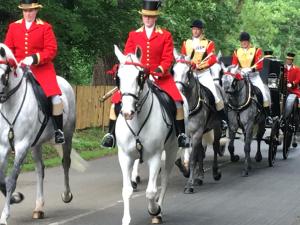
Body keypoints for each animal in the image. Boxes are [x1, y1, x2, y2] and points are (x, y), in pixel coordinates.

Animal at [0, 43, 78, 224]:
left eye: (2, 75)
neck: (11, 104)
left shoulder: (22, 146)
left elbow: (11, 180)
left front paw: (4, 215)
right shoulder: (3, 147)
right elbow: (1, 179)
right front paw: (15, 198)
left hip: (68, 134)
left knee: (66, 162)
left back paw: (66, 194)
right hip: (36, 143)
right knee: (40, 170)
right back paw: (38, 207)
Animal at [113, 44, 177, 224]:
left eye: (139, 77)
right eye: (118, 77)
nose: (127, 112)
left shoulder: (155, 156)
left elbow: (151, 192)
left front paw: (154, 210)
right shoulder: (125, 156)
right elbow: (127, 190)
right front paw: (126, 219)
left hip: (171, 151)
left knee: (164, 181)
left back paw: (158, 211)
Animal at [172, 52, 226, 193]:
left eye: (188, 71)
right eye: (173, 70)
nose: (177, 91)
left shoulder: (196, 134)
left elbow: (193, 159)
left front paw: (189, 185)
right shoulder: (184, 136)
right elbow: (183, 159)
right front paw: (190, 175)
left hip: (216, 128)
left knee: (215, 146)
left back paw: (214, 172)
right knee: (201, 151)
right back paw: (200, 176)